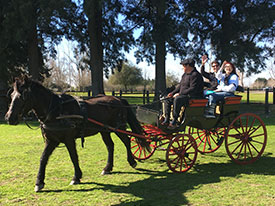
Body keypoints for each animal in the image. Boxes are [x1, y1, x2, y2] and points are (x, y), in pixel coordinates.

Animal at [4, 76, 150, 192]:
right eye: (11, 96)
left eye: (23, 96)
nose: (9, 118)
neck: (56, 110)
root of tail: (118, 99)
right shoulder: (51, 140)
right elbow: (43, 159)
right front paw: (39, 182)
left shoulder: (69, 139)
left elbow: (73, 156)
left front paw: (76, 177)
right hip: (104, 130)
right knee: (110, 146)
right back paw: (107, 168)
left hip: (118, 127)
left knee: (126, 141)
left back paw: (132, 161)